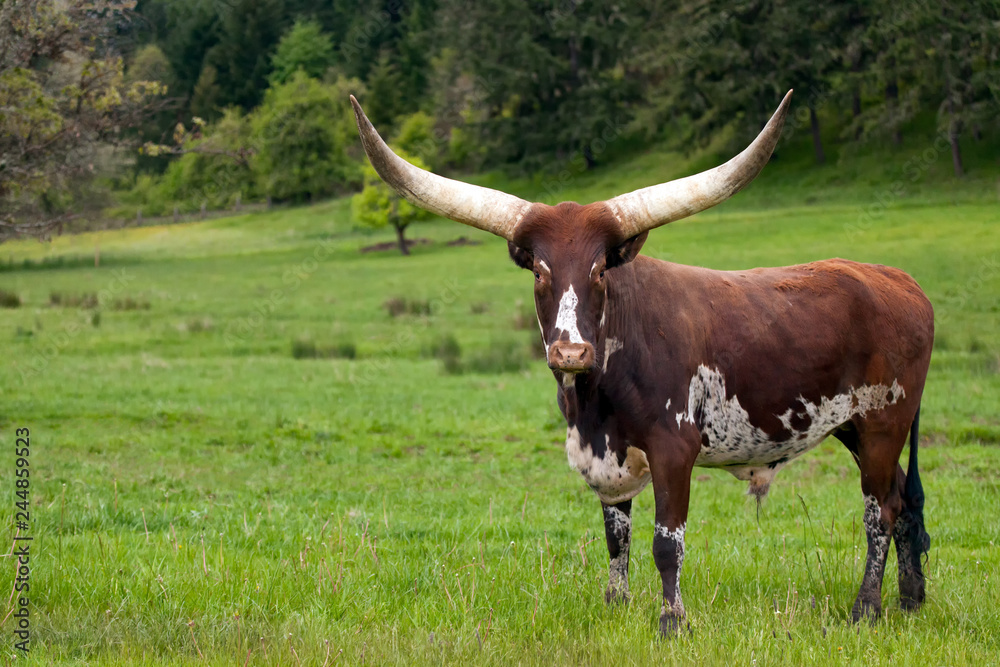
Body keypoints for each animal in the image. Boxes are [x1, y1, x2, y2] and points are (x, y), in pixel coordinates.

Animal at [349, 90, 933, 636]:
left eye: (599, 270)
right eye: (539, 270)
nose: (570, 352)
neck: (595, 402)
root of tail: (903, 282)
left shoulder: (674, 448)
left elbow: (665, 543)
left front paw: (672, 620)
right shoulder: (605, 459)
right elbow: (616, 539)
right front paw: (616, 605)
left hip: (884, 423)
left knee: (879, 511)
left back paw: (866, 608)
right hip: (854, 427)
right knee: (902, 501)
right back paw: (910, 599)